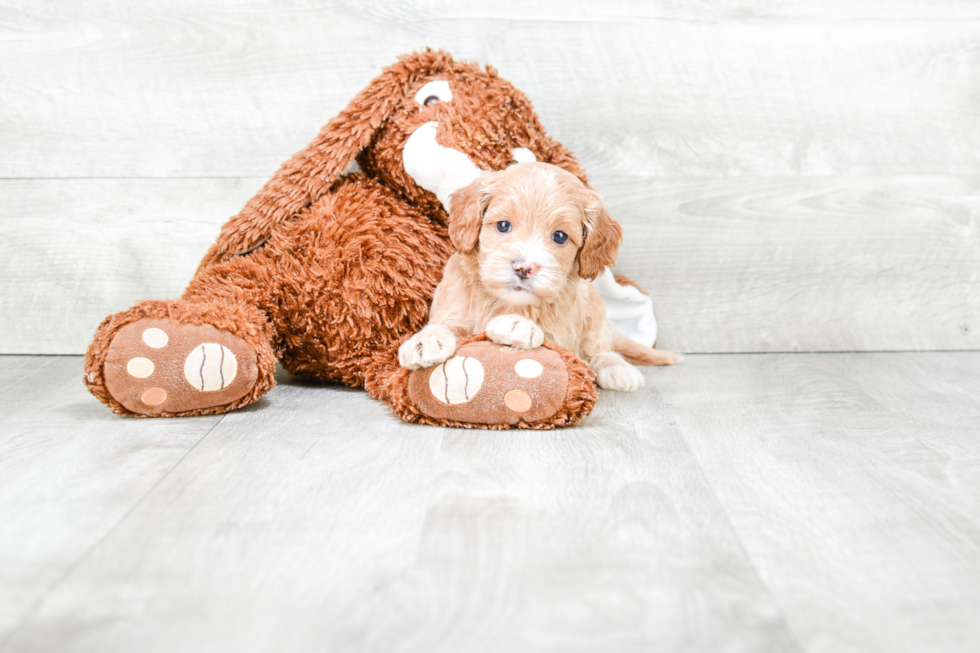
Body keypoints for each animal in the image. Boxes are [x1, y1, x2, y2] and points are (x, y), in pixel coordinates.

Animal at [394, 161, 676, 390]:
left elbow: (550, 341)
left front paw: (516, 324)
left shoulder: (565, 337)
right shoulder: (453, 304)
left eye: (560, 236)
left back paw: (616, 367)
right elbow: (444, 324)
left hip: (595, 309)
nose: (523, 267)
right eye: (503, 225)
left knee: (600, 346)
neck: (504, 302)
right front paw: (426, 340)